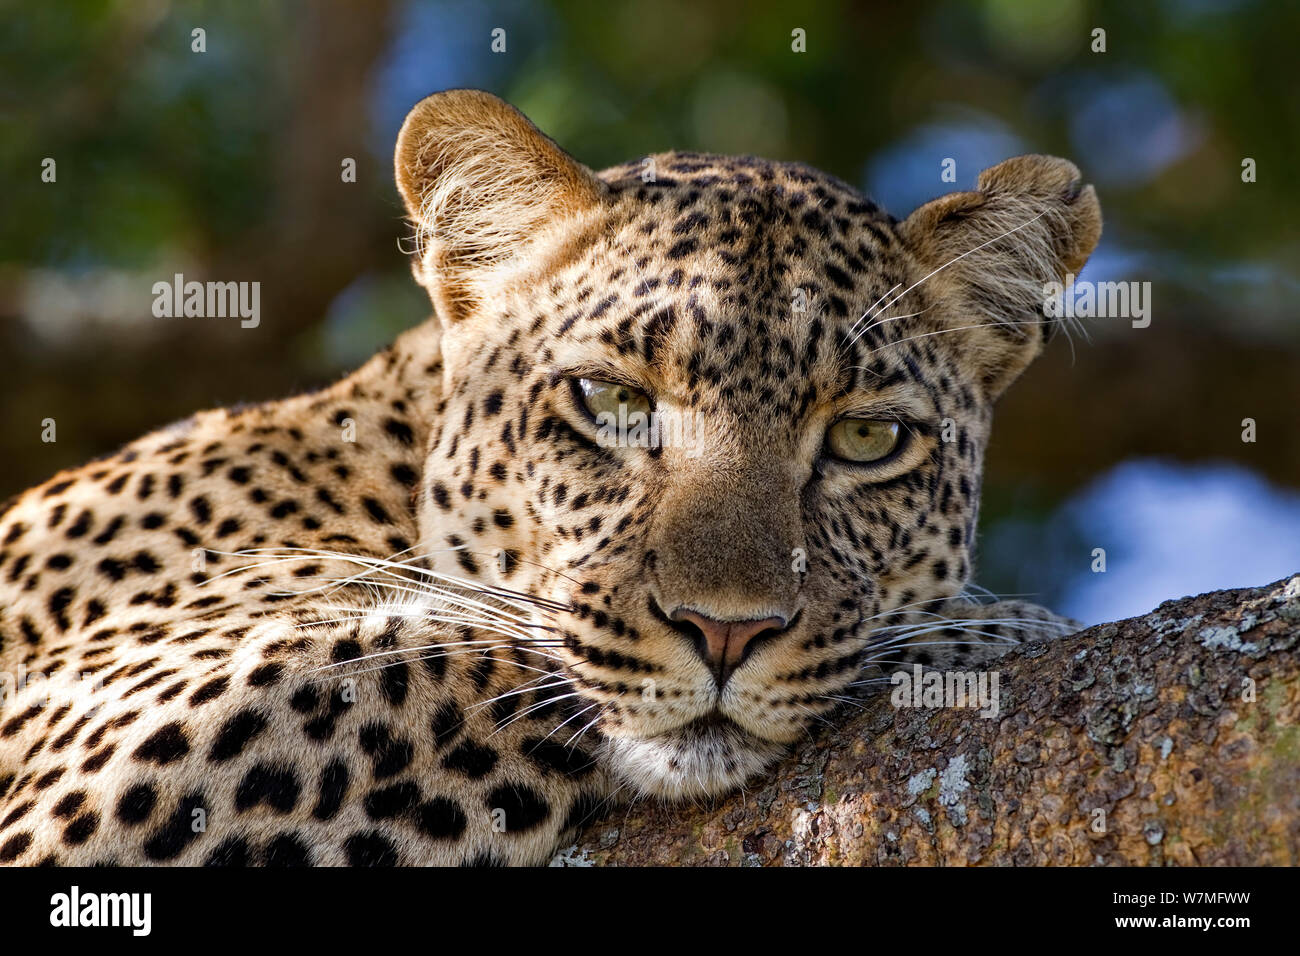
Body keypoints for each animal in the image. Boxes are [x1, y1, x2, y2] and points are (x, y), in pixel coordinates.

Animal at [0, 89, 1097, 868]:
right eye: (608, 398)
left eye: (868, 437)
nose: (726, 633)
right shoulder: (76, 751)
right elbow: (449, 655)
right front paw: (994, 630)